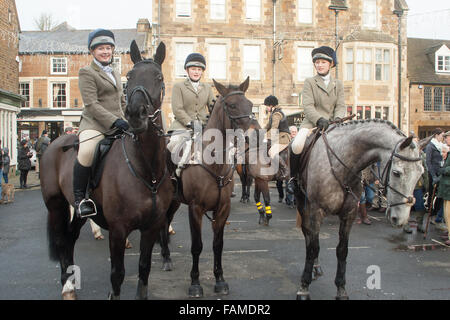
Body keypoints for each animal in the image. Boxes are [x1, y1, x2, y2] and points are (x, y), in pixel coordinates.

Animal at [41, 40, 173, 300]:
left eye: (159, 77)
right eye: (129, 77)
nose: (135, 114)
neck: (147, 171)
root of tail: (56, 142)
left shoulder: (152, 227)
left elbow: (144, 268)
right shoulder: (119, 229)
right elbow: (117, 274)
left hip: (77, 211)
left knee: (70, 239)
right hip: (56, 205)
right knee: (61, 240)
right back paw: (67, 286)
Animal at [160, 77, 255, 298]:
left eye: (251, 105)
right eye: (232, 105)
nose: (251, 137)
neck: (213, 163)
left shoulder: (223, 209)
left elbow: (217, 245)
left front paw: (220, 280)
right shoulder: (196, 209)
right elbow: (197, 246)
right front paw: (195, 284)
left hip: (175, 202)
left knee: (166, 222)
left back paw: (165, 255)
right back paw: (166, 258)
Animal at [292, 119, 422, 300]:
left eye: (420, 174)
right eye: (396, 173)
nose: (400, 219)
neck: (342, 164)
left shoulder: (350, 214)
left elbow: (342, 250)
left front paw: (341, 289)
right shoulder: (315, 210)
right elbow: (313, 247)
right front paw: (304, 287)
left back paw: (316, 267)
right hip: (302, 202)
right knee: (308, 235)